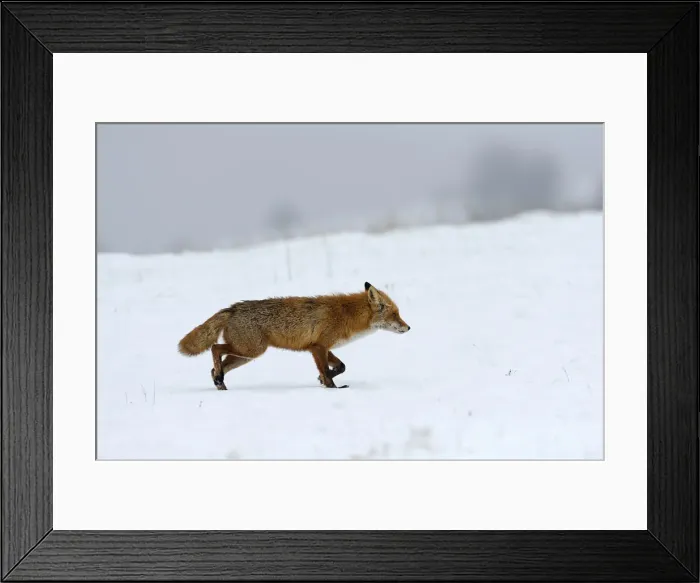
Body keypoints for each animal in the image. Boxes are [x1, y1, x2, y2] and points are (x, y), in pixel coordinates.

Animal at [178, 282, 410, 390]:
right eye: (395, 314)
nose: (408, 328)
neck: (346, 315)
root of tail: (233, 308)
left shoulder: (321, 347)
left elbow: (340, 367)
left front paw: (323, 380)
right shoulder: (317, 347)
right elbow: (327, 371)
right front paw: (332, 388)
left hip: (245, 356)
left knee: (214, 367)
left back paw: (221, 384)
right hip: (252, 350)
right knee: (214, 348)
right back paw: (220, 379)